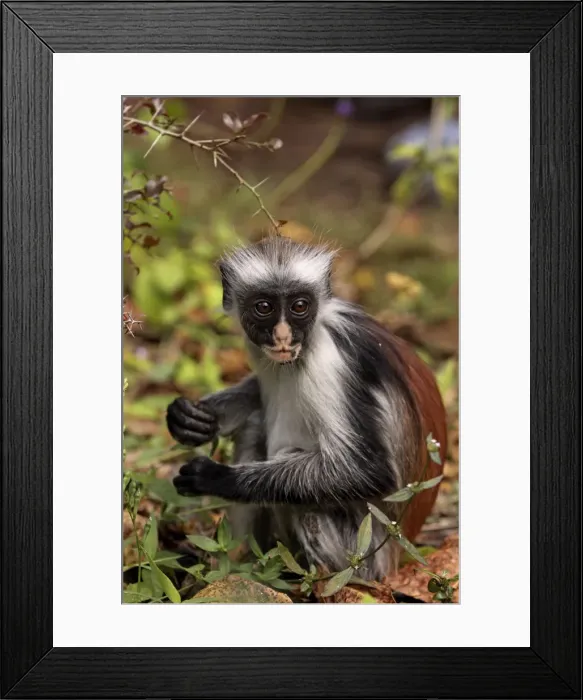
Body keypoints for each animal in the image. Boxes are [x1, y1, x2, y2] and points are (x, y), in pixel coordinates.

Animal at [166, 236, 447, 580]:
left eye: (299, 306)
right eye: (264, 307)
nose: (283, 335)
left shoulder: (330, 361)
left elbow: (369, 471)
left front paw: (217, 477)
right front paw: (194, 419)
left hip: (364, 555)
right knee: (255, 425)